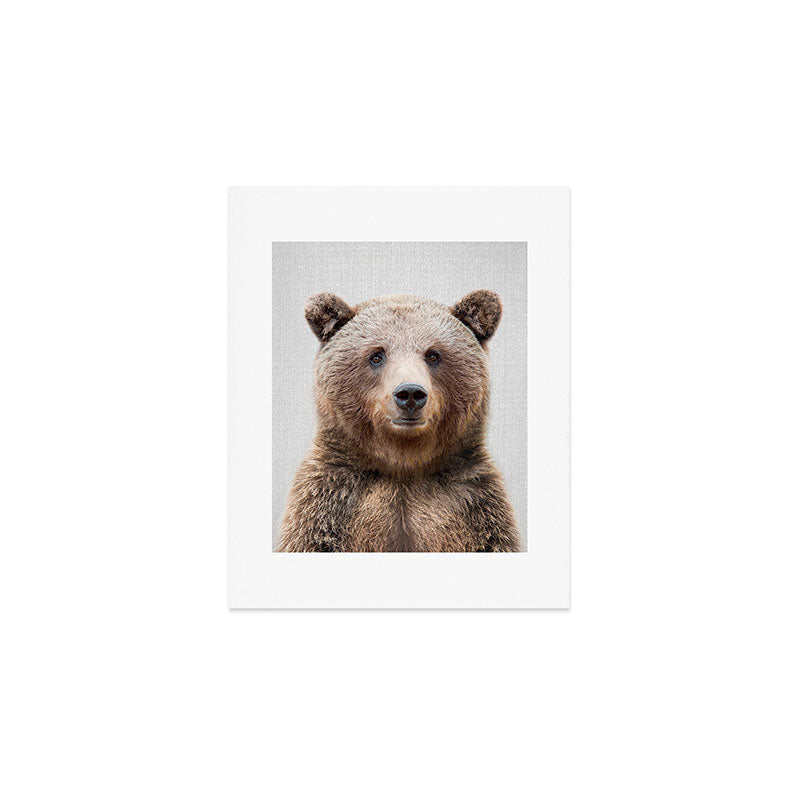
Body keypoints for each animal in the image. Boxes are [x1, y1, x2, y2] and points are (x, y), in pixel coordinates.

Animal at [277, 290, 521, 552]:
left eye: (433, 355)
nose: (410, 393)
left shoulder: (475, 507)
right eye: (376, 355)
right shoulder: (328, 505)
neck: (403, 465)